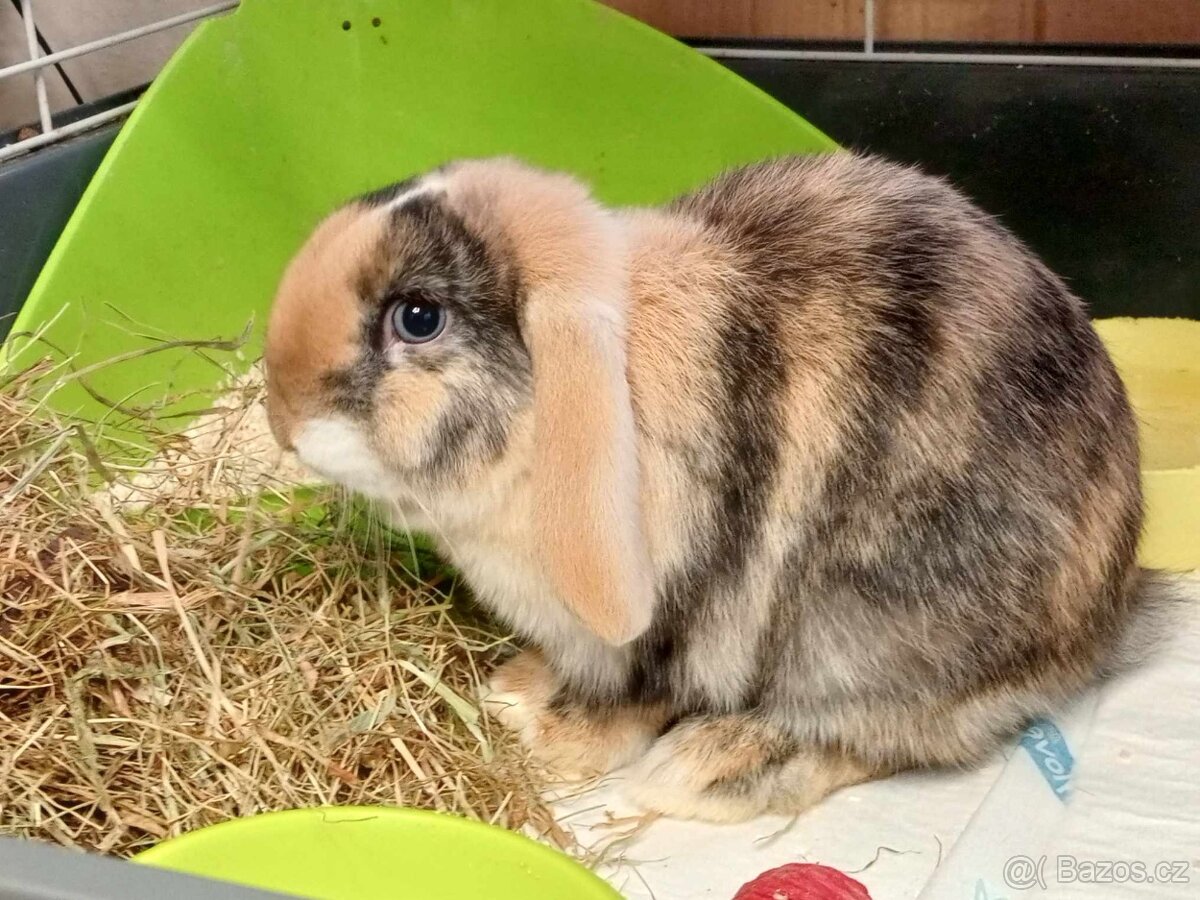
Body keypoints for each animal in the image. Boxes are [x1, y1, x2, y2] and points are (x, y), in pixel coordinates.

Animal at [265, 154, 1180, 825]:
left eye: (418, 317)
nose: (281, 417)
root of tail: (1106, 616)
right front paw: (512, 694)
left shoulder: (667, 626)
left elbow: (627, 703)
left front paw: (548, 748)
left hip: (866, 636)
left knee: (876, 737)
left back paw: (703, 770)